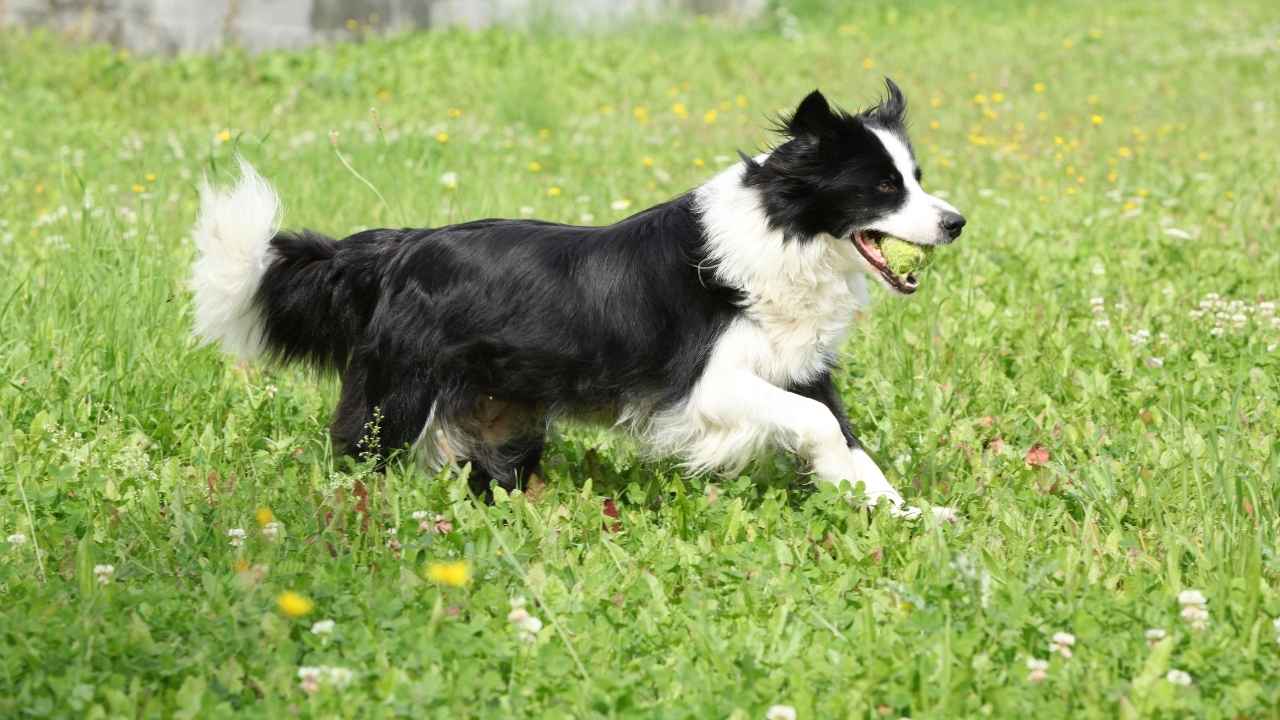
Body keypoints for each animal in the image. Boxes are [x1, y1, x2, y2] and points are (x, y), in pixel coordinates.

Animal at [192, 79, 962, 515]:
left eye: (917, 178)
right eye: (883, 187)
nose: (956, 222)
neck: (784, 231)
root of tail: (394, 249)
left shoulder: (801, 366)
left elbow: (849, 438)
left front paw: (903, 515)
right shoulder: (706, 386)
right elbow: (818, 424)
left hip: (501, 414)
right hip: (397, 394)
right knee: (357, 454)